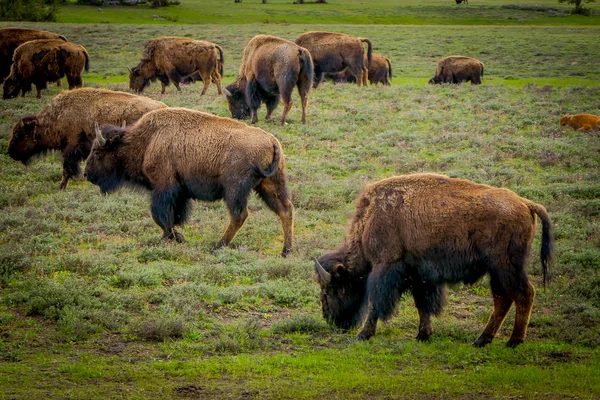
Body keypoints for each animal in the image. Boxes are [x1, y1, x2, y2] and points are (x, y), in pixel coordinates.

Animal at [9, 88, 168, 191]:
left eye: (18, 134)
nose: (10, 152)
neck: (59, 114)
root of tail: (162, 106)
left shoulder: (71, 147)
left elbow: (67, 169)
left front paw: (61, 187)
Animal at [85, 107, 296, 256]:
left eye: (96, 151)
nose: (87, 174)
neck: (147, 140)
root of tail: (272, 142)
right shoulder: (179, 192)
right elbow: (173, 215)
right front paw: (173, 236)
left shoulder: (164, 187)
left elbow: (160, 214)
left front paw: (174, 237)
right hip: (269, 185)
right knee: (285, 210)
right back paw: (286, 251)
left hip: (235, 189)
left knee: (239, 215)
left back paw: (218, 246)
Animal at [314, 174, 552, 346]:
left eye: (331, 290)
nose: (330, 319)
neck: (372, 216)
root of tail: (526, 203)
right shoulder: (420, 275)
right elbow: (423, 305)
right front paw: (423, 335)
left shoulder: (385, 267)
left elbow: (376, 303)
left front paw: (363, 335)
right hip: (497, 271)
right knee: (503, 299)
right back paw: (481, 340)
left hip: (505, 266)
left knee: (523, 294)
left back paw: (514, 341)